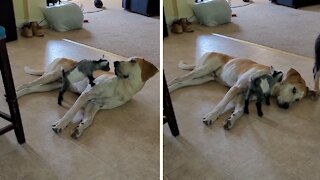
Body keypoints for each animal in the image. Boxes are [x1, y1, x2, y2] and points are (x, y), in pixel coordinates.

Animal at [16, 57, 159, 139]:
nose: (115, 62)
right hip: (51, 76)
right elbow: (70, 113)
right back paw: (15, 94)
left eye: (133, 61)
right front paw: (60, 124)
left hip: (51, 85)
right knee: (26, 85)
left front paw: (79, 128)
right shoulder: (87, 95)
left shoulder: (95, 104)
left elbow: (89, 120)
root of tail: (60, 57)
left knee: (29, 89)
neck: (123, 86)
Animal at [169, 51, 314, 129]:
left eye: (297, 100)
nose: (286, 107)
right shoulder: (236, 88)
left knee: (182, 83)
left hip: (203, 78)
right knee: (177, 78)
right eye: (294, 89)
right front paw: (211, 116)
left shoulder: (242, 97)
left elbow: (240, 111)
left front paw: (231, 120)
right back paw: (168, 89)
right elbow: (221, 105)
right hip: (203, 70)